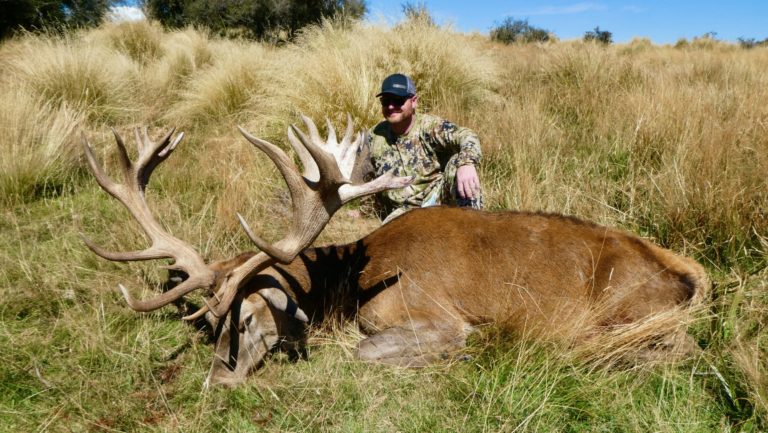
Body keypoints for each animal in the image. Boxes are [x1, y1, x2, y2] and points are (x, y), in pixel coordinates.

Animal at [81, 116, 709, 388]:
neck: (346, 282)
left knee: (671, 351)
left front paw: (467, 354)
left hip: (629, 310)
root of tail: (690, 276)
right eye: (212, 327)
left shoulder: (431, 315)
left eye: (251, 316)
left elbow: (363, 352)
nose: (218, 383)